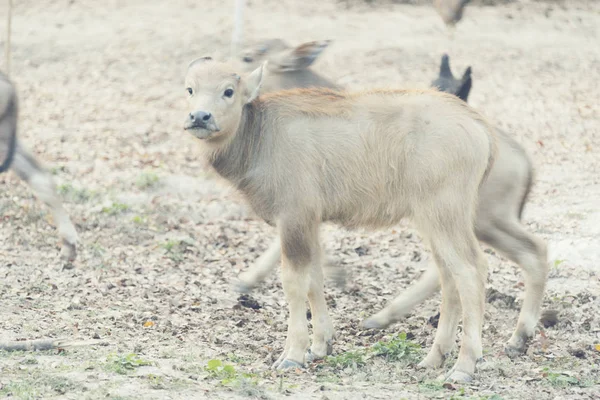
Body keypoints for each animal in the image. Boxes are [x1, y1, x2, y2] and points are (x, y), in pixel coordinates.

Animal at [185, 57, 494, 382]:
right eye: (190, 89)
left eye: (228, 91)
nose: (199, 116)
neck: (261, 136)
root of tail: (478, 126)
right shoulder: (310, 222)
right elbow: (314, 279)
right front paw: (321, 346)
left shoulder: (293, 218)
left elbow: (294, 282)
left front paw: (292, 354)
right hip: (433, 219)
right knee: (448, 276)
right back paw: (435, 357)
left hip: (444, 212)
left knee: (470, 270)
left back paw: (464, 365)